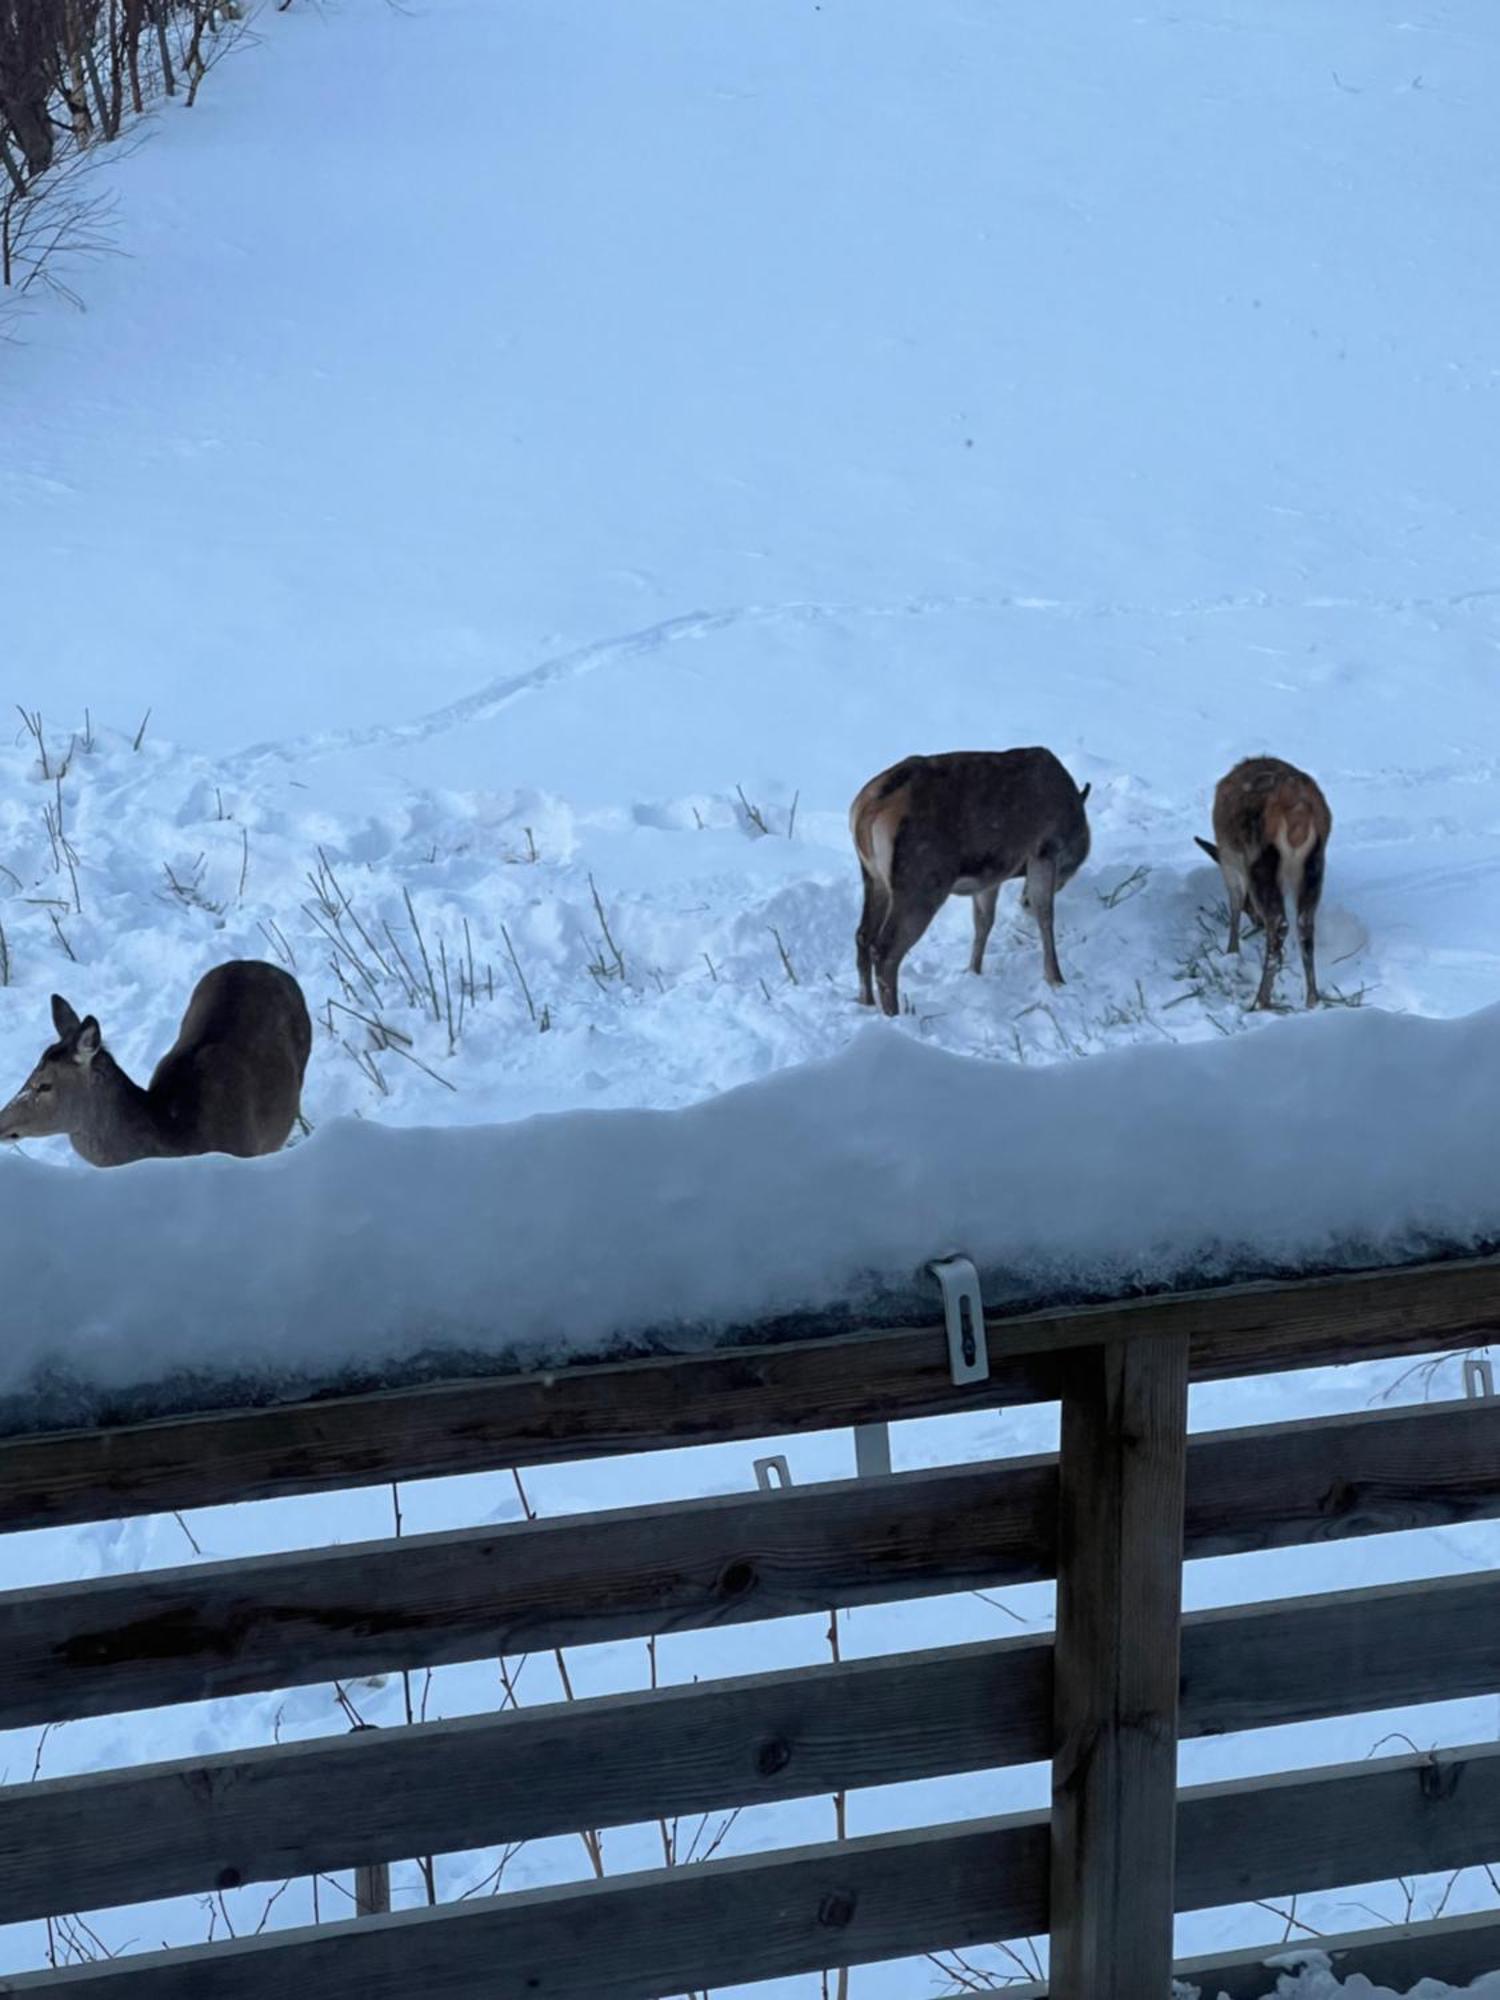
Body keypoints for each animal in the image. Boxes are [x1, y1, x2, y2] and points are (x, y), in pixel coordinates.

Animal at [856, 748, 1096, 1016]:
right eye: (1066, 870)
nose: (1022, 900)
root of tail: (865, 809)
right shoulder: (1044, 849)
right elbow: (1045, 914)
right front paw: (1056, 979)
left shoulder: (990, 876)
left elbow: (983, 922)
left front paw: (973, 971)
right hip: (921, 880)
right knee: (885, 949)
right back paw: (894, 1014)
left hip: (873, 876)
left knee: (863, 936)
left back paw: (866, 1002)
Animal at [1200, 752, 1336, 1008]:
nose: (1256, 922)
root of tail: (1298, 814)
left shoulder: (1231, 863)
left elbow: (1234, 905)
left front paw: (1231, 952)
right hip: (1315, 864)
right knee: (1304, 924)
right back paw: (1313, 999)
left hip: (1261, 860)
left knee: (1280, 923)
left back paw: (1260, 1000)